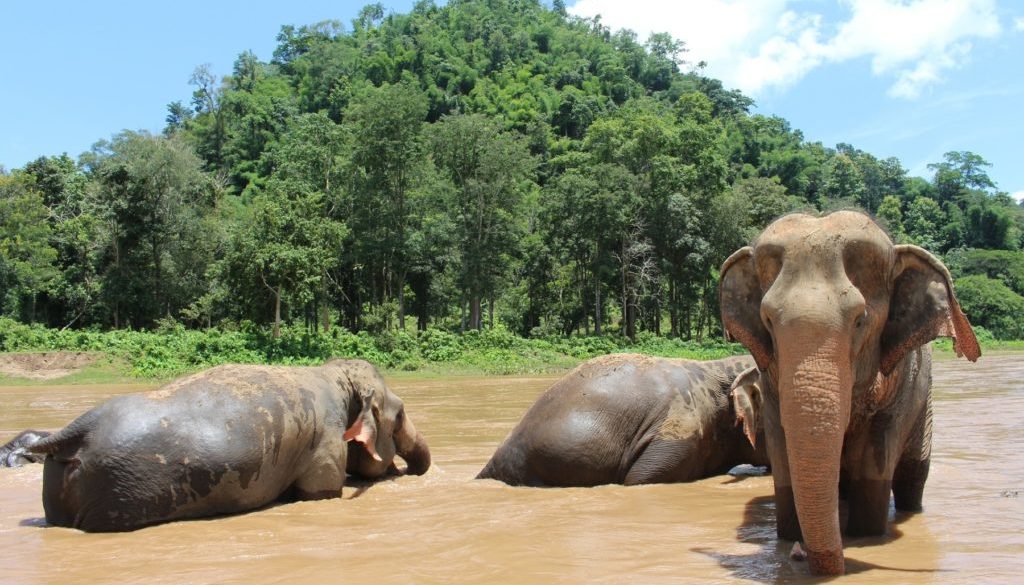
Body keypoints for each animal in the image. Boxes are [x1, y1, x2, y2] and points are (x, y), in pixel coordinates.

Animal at [29, 358, 430, 532]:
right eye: (399, 416)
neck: (335, 374)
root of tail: (77, 429)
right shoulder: (325, 443)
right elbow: (320, 493)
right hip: (117, 493)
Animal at [719, 210, 980, 575]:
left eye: (860, 320)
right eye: (768, 321)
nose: (798, 555)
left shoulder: (902, 382)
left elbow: (876, 458)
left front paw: (865, 537)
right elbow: (783, 453)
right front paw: (788, 539)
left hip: (924, 403)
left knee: (913, 476)